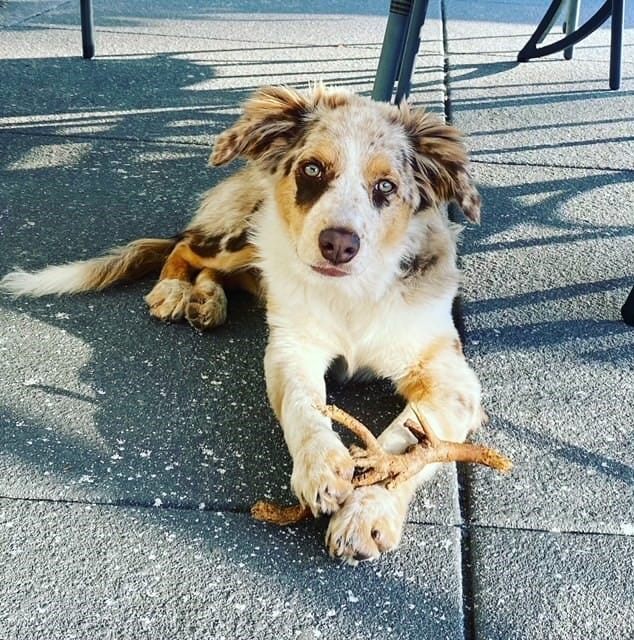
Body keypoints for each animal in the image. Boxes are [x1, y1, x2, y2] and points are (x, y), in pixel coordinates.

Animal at [2, 85, 482, 564]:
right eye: (312, 168)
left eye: (386, 186)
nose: (338, 245)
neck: (351, 294)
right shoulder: (291, 346)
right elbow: (303, 404)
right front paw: (320, 467)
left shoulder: (450, 380)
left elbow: (409, 443)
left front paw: (367, 513)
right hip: (247, 233)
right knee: (187, 247)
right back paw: (177, 290)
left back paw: (207, 300)